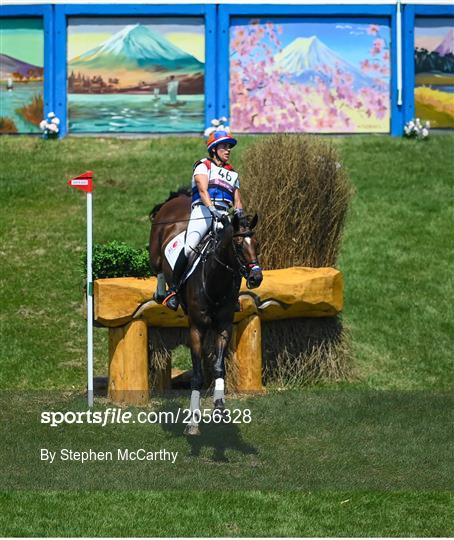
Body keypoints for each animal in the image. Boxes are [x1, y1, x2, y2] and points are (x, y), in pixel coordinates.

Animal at [149, 189, 262, 434]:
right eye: (238, 243)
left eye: (257, 244)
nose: (256, 277)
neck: (215, 279)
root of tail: (178, 198)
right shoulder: (196, 329)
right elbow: (198, 375)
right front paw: (193, 420)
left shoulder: (223, 326)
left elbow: (219, 367)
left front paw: (219, 407)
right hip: (155, 250)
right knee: (158, 267)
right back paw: (164, 294)